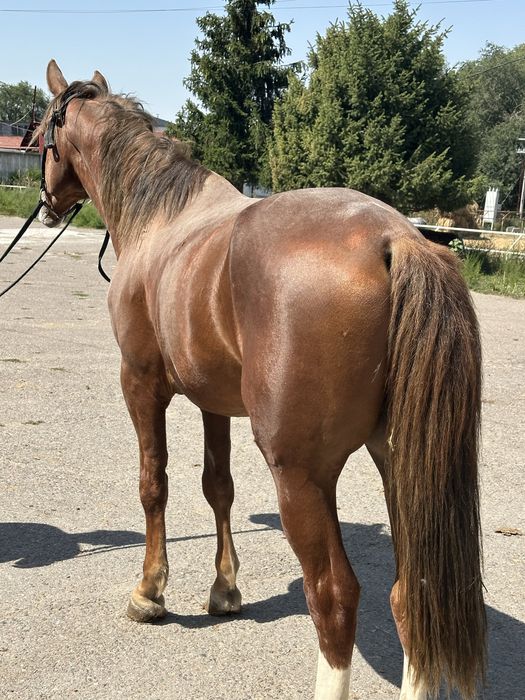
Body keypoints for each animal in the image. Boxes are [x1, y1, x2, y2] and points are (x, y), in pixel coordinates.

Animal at [34, 60, 486, 700]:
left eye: (40, 130)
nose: (47, 202)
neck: (160, 218)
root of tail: (396, 239)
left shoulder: (141, 384)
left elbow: (154, 483)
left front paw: (150, 592)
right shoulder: (214, 402)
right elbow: (217, 486)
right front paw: (225, 590)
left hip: (301, 475)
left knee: (333, 596)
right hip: (401, 463)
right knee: (412, 596)